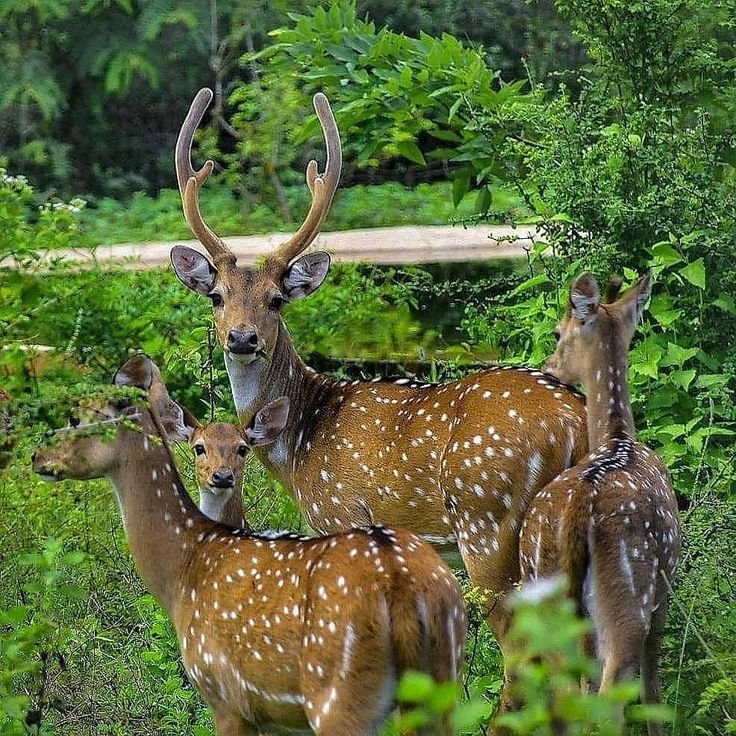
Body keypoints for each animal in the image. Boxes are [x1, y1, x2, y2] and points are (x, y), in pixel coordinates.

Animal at [32, 354, 467, 736]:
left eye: (75, 417)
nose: (38, 456)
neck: (186, 566)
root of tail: (400, 582)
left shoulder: (224, 695)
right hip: (443, 676)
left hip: (337, 694)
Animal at [169, 87, 588, 696]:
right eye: (218, 295)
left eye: (276, 298)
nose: (242, 338)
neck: (299, 442)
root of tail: (575, 425)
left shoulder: (339, 515)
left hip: (488, 522)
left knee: (527, 655)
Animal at [518, 272, 681, 736]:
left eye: (559, 332)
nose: (549, 367)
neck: (617, 438)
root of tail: (580, 506)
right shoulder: (663, 592)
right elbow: (653, 688)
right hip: (629, 596)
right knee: (611, 699)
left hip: (547, 600)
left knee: (565, 697)